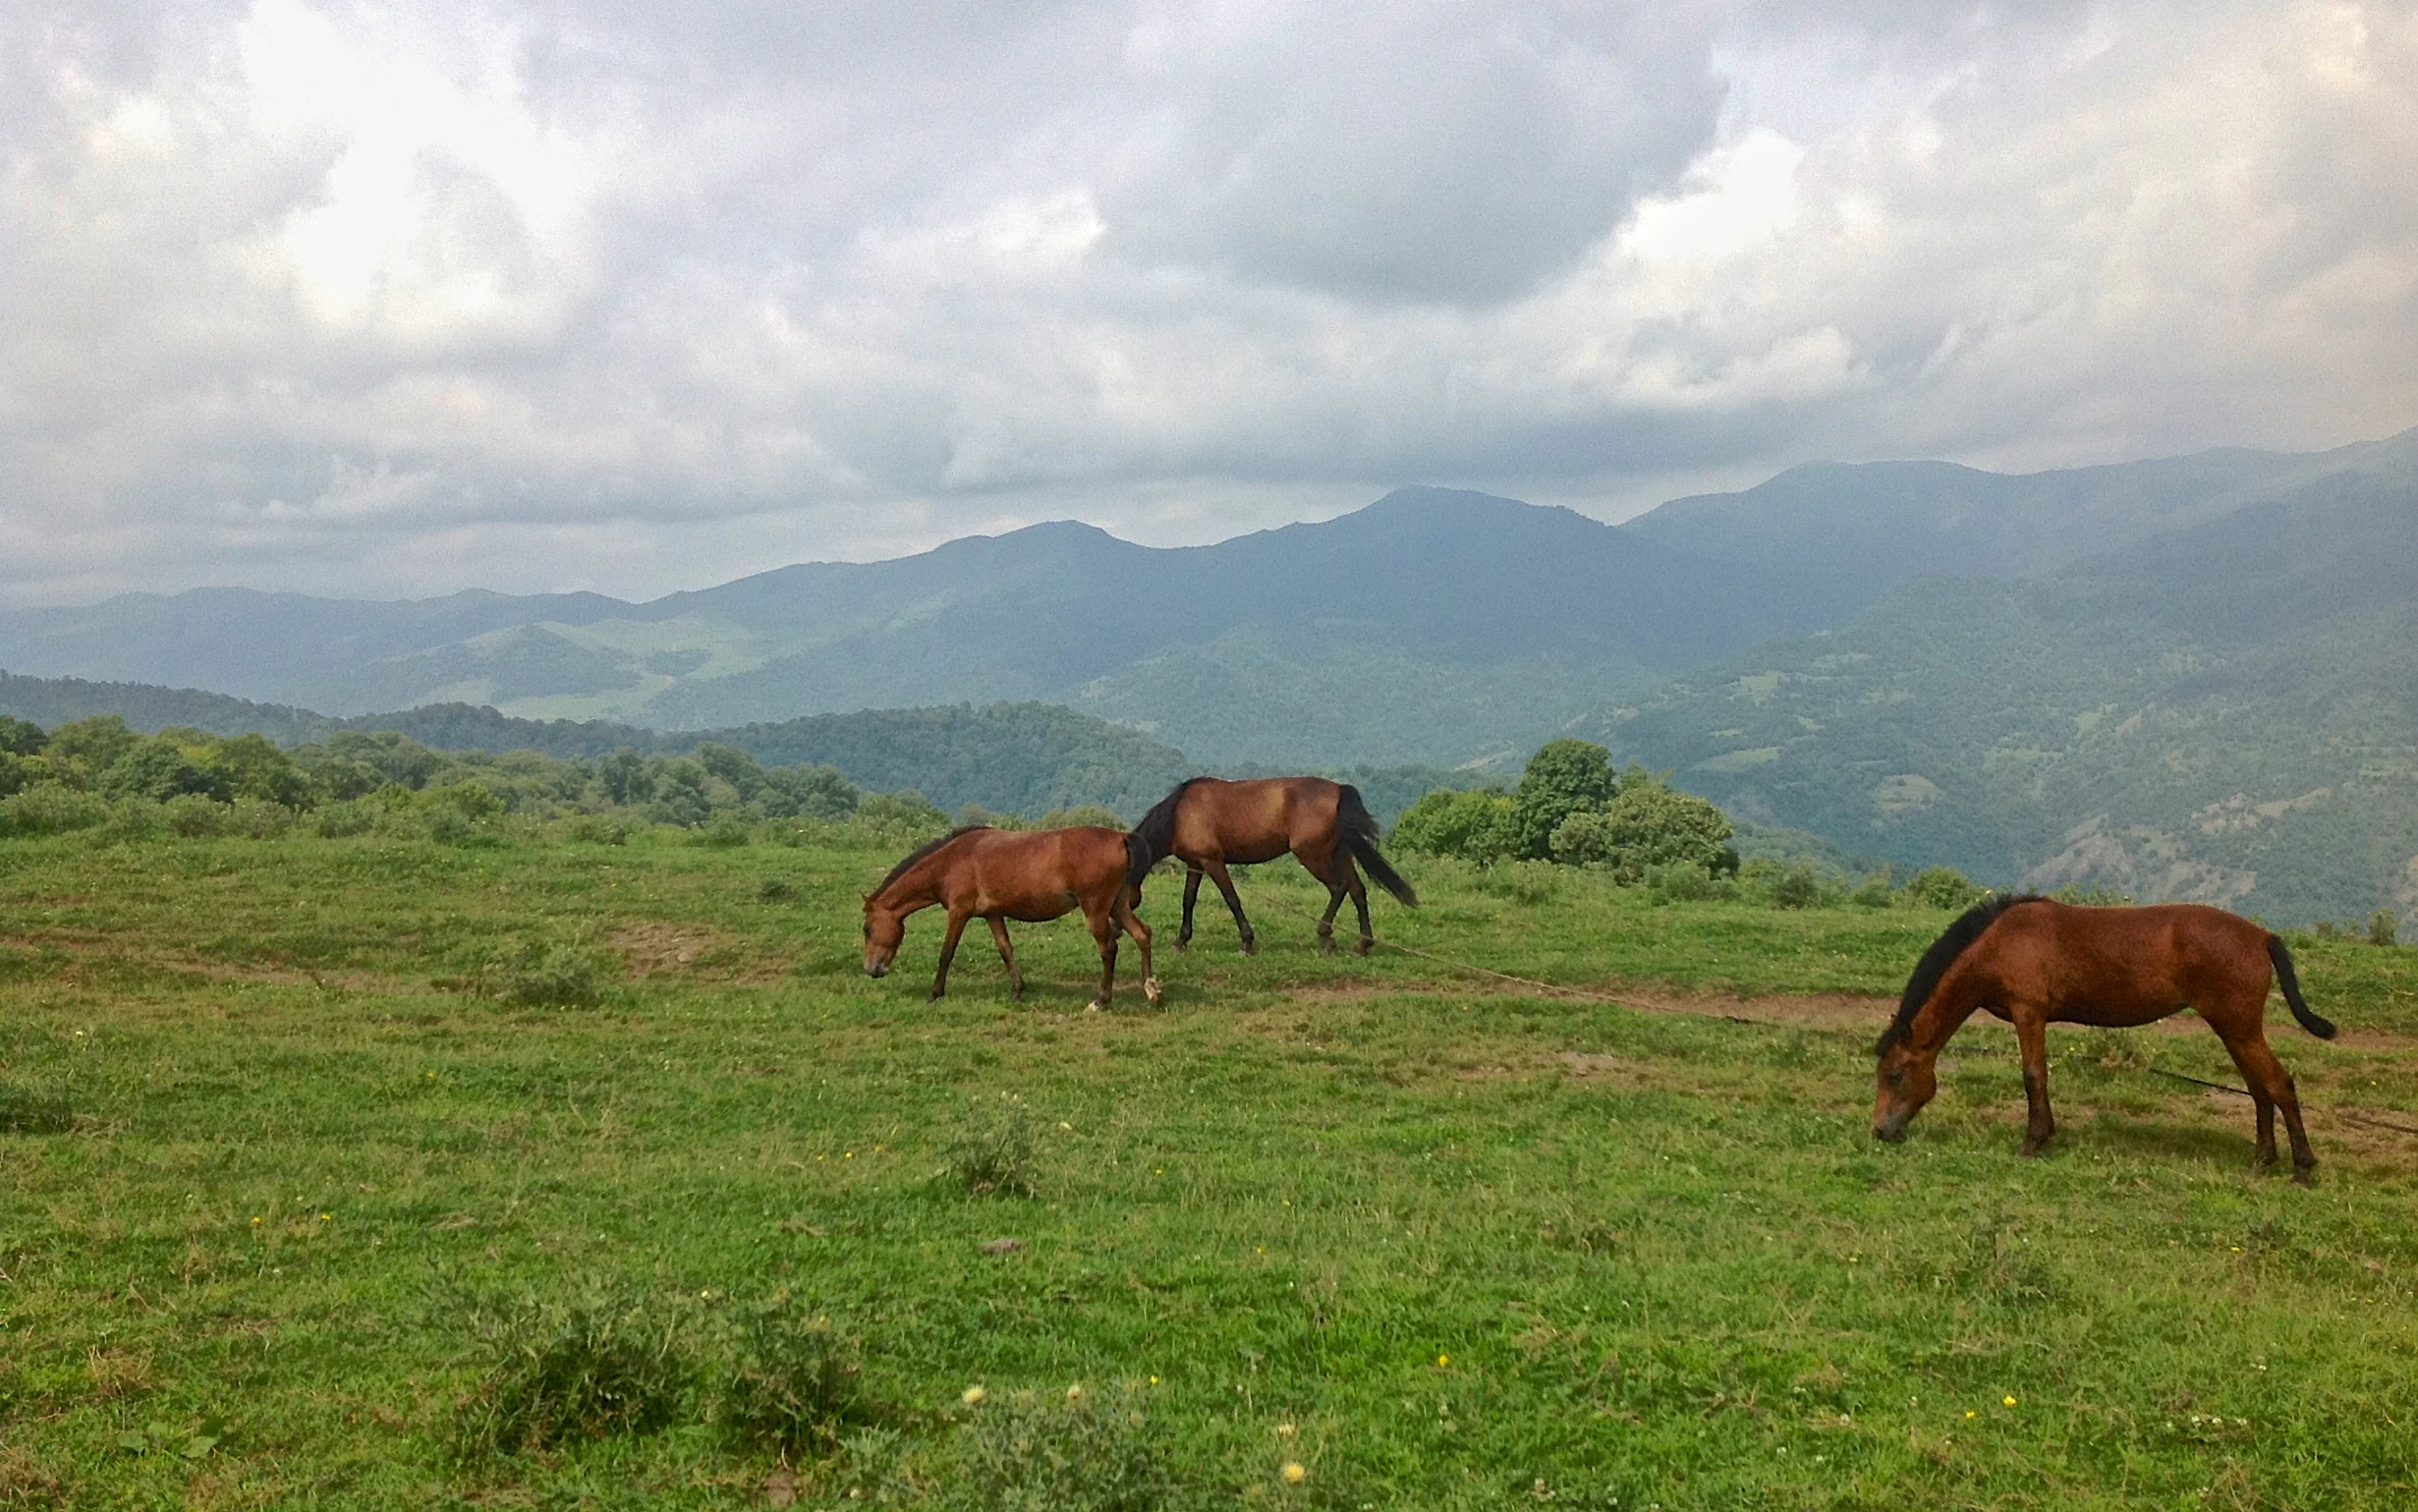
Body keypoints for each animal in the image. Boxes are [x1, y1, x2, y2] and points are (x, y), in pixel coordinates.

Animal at [862, 826, 1160, 1009]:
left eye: (867, 929)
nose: (871, 969)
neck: (951, 861)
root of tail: (1121, 837)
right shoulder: (993, 914)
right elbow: (1005, 949)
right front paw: (1017, 989)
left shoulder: (959, 912)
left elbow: (946, 953)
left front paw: (935, 993)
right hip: (1118, 906)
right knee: (1143, 934)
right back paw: (1151, 989)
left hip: (1096, 909)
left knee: (1109, 948)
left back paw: (1101, 1000)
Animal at [1124, 777, 1417, 956]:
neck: (1180, 814)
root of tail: (1338, 790)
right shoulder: (1196, 863)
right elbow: (1188, 900)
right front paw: (1181, 940)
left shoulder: (1212, 861)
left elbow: (1232, 899)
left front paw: (1247, 942)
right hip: (1340, 854)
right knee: (1357, 890)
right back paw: (1363, 944)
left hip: (1313, 855)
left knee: (1338, 887)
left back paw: (1326, 938)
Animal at [1872, 895, 2337, 1182]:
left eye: (1894, 1075)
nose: (1879, 1132)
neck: (2001, 942)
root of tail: (2262, 936)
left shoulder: (2029, 1014)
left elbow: (2033, 1076)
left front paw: (2032, 1141)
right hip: (2233, 1029)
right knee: (2260, 1089)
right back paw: (2262, 1159)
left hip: (2239, 1028)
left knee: (2280, 1085)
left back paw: (2302, 1167)